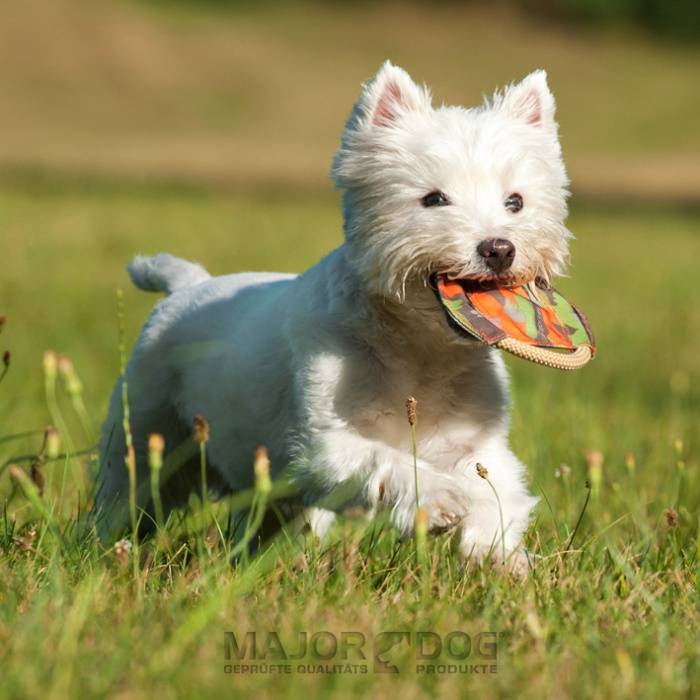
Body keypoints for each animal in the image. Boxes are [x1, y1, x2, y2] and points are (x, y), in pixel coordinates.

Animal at [98, 63, 572, 572]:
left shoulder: (477, 443)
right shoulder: (325, 443)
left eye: (516, 201)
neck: (421, 352)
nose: (499, 249)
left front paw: (497, 555)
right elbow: (387, 462)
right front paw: (441, 498)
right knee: (123, 491)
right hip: (143, 430)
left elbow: (496, 489)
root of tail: (186, 284)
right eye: (433, 199)